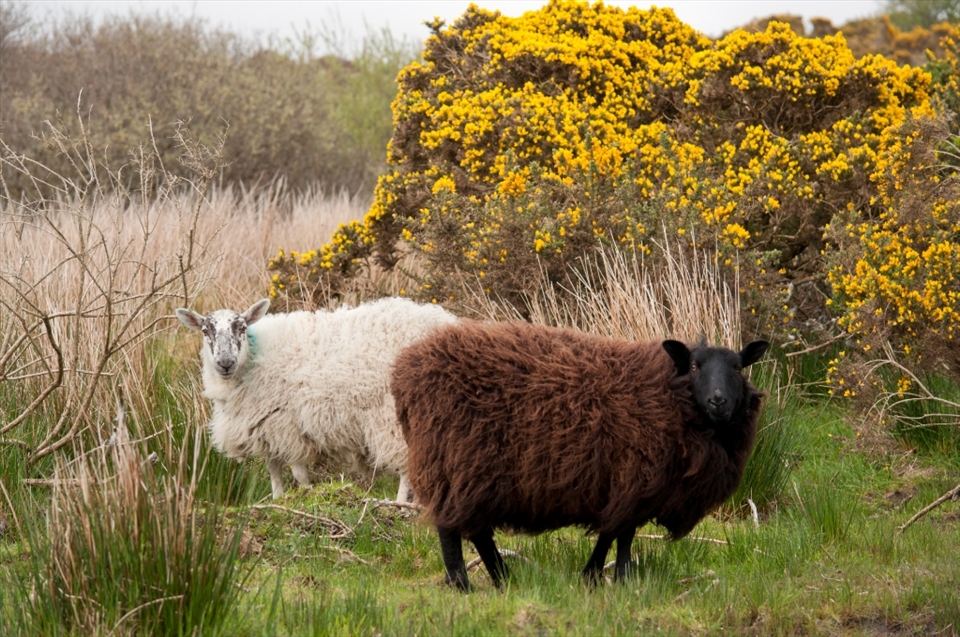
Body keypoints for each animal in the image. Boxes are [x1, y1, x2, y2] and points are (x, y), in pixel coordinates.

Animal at [176, 296, 458, 501]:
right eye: (205, 331)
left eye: (242, 328)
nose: (225, 363)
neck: (252, 361)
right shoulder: (267, 427)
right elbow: (273, 470)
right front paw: (278, 500)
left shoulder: (287, 427)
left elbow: (299, 473)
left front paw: (307, 497)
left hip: (395, 416)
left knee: (407, 468)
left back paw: (401, 505)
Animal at [391, 320, 768, 591]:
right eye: (693, 366)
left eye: (737, 368)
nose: (718, 400)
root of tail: (405, 371)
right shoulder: (636, 480)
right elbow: (620, 533)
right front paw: (614, 579)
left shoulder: (628, 484)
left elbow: (614, 533)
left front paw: (598, 576)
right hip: (454, 462)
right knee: (450, 528)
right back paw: (462, 584)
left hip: (470, 472)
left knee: (477, 531)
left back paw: (503, 578)